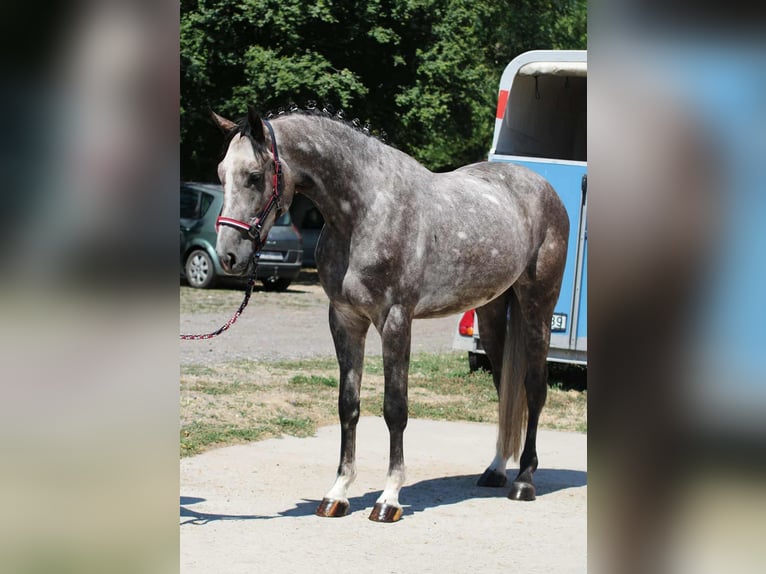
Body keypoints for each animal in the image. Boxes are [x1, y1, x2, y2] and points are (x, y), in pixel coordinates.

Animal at [209, 106, 569, 522]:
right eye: (220, 173)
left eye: (254, 176)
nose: (228, 255)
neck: (364, 212)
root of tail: (542, 188)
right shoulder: (345, 319)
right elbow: (348, 405)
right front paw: (337, 493)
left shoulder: (396, 320)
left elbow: (395, 408)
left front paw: (389, 498)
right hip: (493, 312)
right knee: (503, 389)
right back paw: (496, 470)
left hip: (537, 306)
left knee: (534, 388)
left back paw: (524, 480)